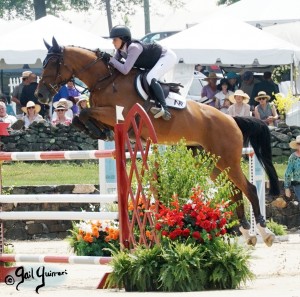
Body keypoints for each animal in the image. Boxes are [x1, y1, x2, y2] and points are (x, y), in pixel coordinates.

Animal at [36, 37, 280, 245]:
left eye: (52, 63)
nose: (39, 96)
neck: (105, 81)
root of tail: (230, 119)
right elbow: (81, 116)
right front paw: (97, 131)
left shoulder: (116, 114)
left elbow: (85, 112)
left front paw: (97, 130)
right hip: (211, 163)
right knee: (234, 190)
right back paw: (248, 233)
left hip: (226, 159)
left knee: (248, 188)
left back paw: (264, 232)